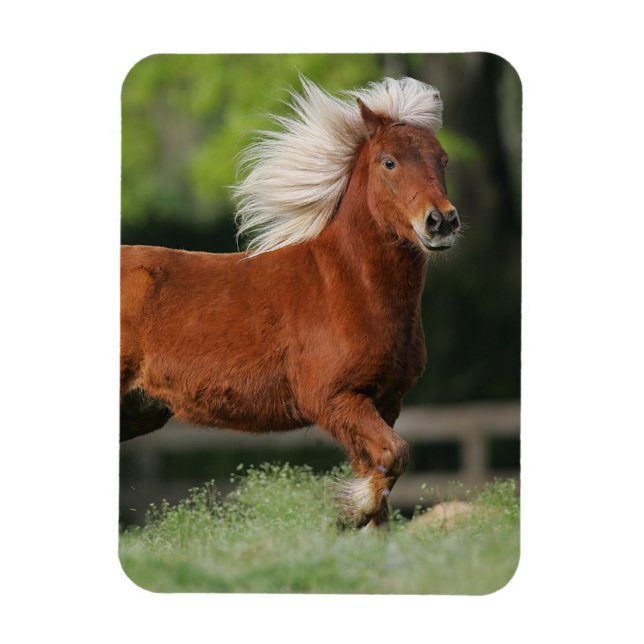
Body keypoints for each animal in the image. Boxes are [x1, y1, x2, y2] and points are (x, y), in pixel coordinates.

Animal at [120, 77, 460, 529]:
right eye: (388, 162)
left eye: (443, 160)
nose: (441, 222)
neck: (346, 286)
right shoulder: (334, 400)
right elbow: (394, 455)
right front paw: (349, 509)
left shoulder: (384, 402)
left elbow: (382, 477)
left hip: (137, 410)